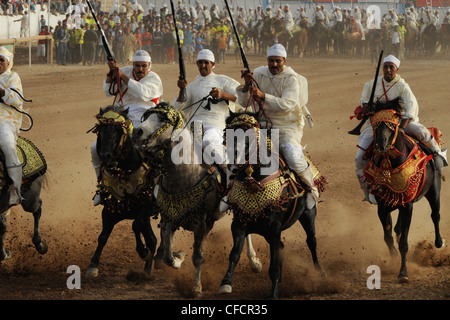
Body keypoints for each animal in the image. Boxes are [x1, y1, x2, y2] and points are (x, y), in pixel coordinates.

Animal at [86, 107, 158, 278]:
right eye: (100, 131)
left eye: (119, 131)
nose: (105, 156)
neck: (124, 173)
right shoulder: (109, 211)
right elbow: (103, 236)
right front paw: (93, 265)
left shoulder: (145, 208)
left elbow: (135, 225)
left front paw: (142, 251)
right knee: (153, 240)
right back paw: (146, 270)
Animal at [134, 102, 260, 298]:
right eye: (146, 116)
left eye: (162, 118)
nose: (137, 131)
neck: (185, 175)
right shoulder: (169, 220)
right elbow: (168, 255)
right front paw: (178, 257)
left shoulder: (201, 225)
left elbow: (197, 257)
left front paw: (196, 288)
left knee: (247, 233)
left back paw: (254, 261)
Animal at [219, 111, 322, 298]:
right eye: (227, 133)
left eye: (249, 134)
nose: (233, 156)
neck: (254, 181)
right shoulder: (239, 224)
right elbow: (234, 253)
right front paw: (226, 283)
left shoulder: (274, 227)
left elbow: (273, 265)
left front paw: (273, 293)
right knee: (282, 246)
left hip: (308, 215)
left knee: (311, 241)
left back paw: (319, 273)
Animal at [364, 100, 444, 282]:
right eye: (375, 125)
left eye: (391, 125)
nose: (381, 145)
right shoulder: (383, 207)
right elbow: (388, 237)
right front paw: (393, 258)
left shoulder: (408, 207)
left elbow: (404, 243)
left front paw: (403, 273)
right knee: (397, 229)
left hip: (434, 191)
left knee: (435, 215)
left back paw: (439, 242)